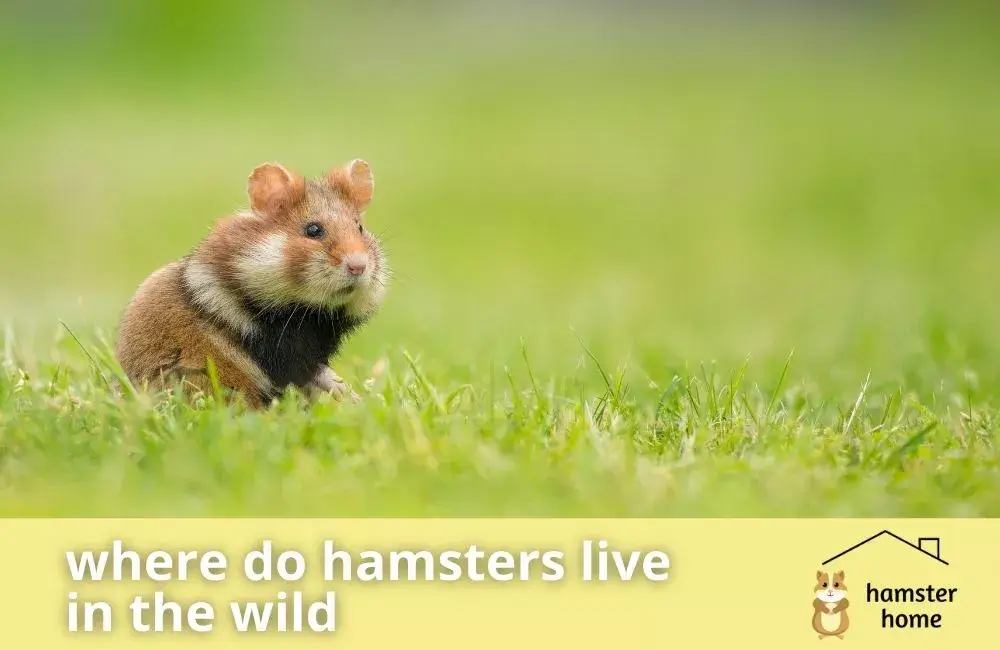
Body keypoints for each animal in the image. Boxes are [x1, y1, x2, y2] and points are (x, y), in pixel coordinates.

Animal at [114, 159, 389, 408]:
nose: (358, 266)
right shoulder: (279, 349)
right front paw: (354, 398)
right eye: (313, 230)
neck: (307, 310)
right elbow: (318, 374)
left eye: (360, 227)